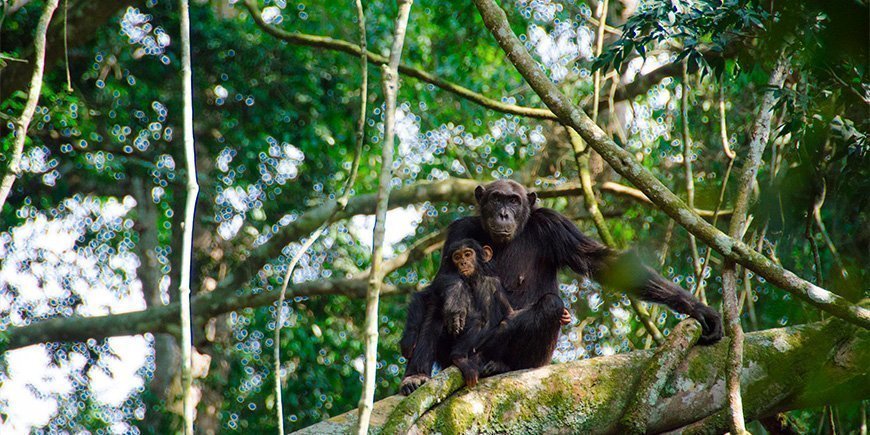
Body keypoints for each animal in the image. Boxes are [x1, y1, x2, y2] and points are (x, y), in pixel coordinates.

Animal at [446, 238, 516, 388]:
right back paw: (459, 358)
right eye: (457, 257)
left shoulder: (495, 283)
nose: (463, 262)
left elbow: (509, 313)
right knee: (477, 322)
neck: (475, 279)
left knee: (506, 325)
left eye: (467, 254)